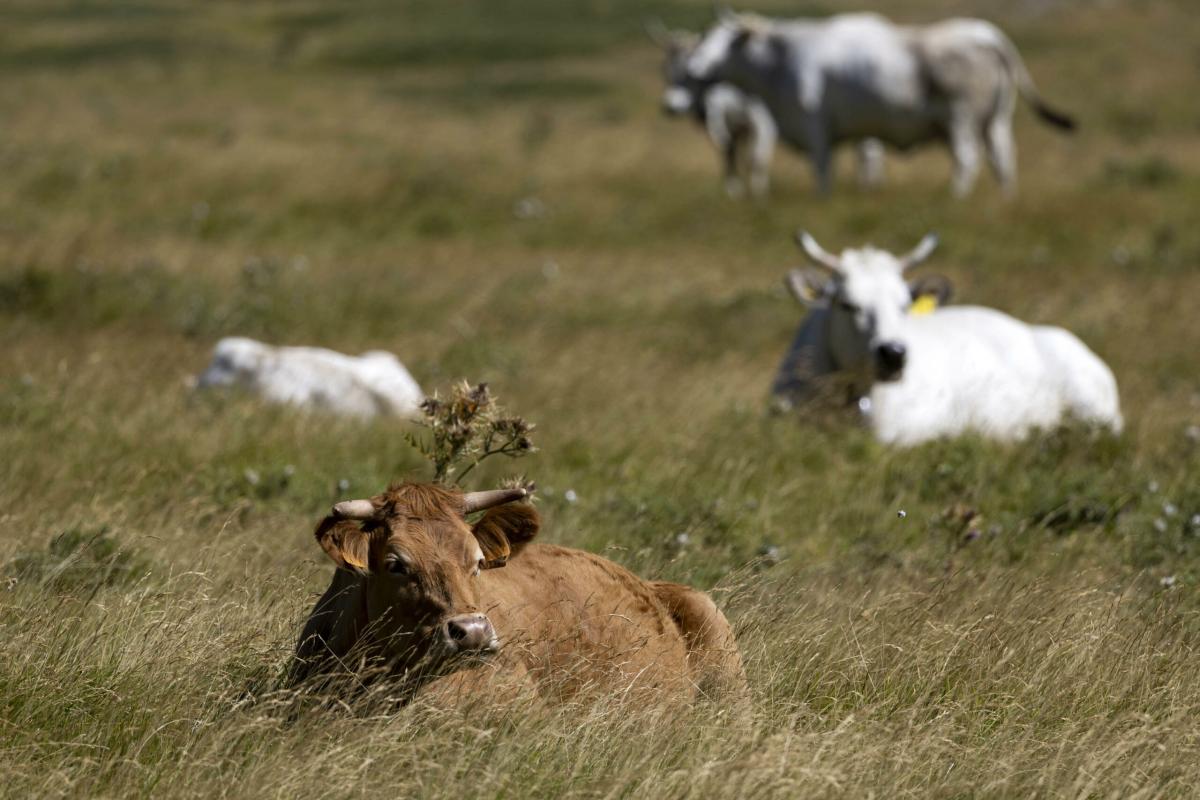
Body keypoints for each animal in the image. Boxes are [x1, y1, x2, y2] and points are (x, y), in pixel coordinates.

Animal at [686, 10, 1080, 196]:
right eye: (705, 38)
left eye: (727, 41)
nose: (695, 65)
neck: (780, 64)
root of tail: (990, 39)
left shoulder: (815, 125)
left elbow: (823, 172)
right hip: (994, 120)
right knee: (1003, 160)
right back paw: (1004, 202)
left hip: (961, 119)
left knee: (967, 159)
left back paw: (955, 199)